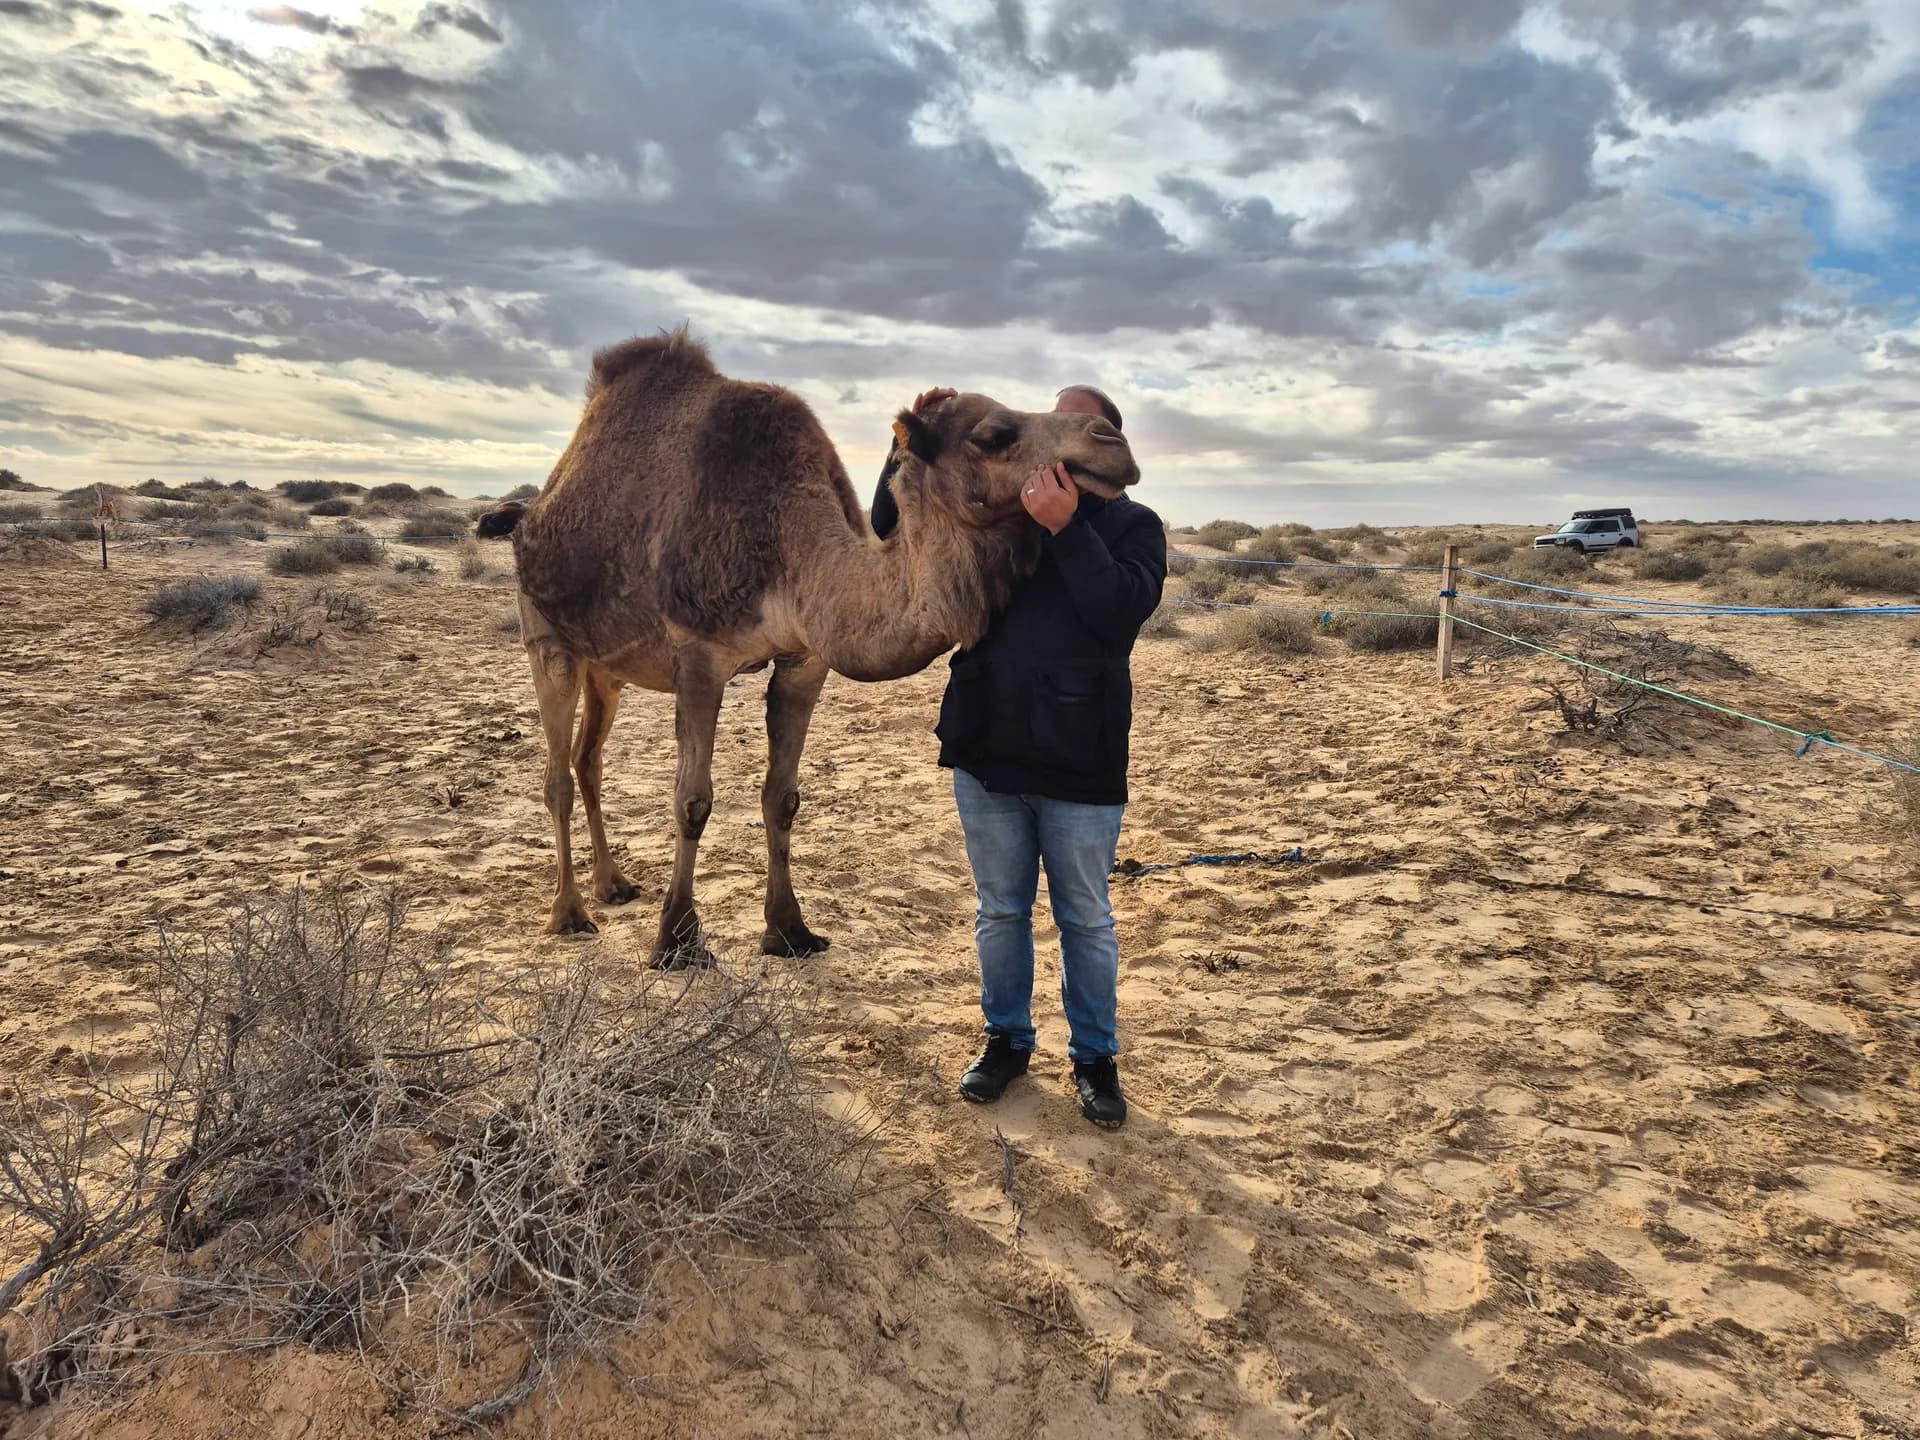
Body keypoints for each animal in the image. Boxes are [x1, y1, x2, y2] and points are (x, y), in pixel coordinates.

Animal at [477, 328, 1138, 963]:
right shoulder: (699, 655)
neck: (788, 544)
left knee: (587, 760)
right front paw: (677, 940)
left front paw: (790, 931)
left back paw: (612, 885)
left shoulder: (805, 661)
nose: (1113, 441)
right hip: (547, 641)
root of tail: (531, 512)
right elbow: (692, 800)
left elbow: (783, 797)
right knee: (557, 776)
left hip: (606, 667)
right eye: (994, 435)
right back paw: (569, 913)